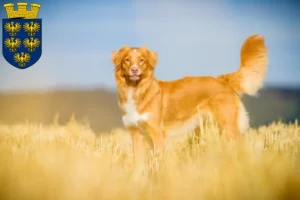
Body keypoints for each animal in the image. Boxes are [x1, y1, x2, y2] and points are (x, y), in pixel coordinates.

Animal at [111, 34, 268, 167]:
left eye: (142, 60)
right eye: (127, 60)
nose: (134, 70)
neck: (136, 90)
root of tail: (221, 79)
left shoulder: (157, 134)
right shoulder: (136, 135)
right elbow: (137, 165)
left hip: (229, 127)